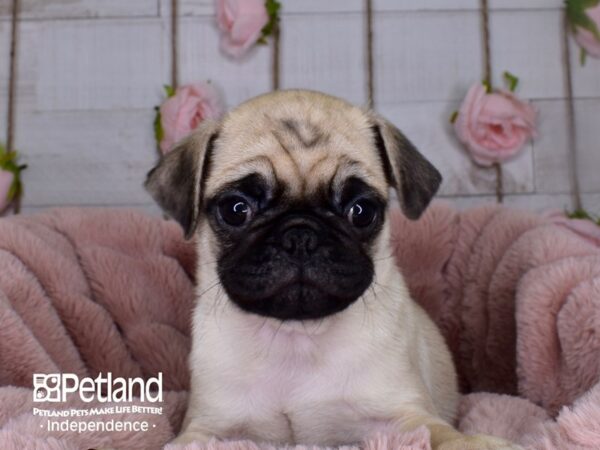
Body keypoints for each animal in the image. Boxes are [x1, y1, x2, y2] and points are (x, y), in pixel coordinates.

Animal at [145, 89, 520, 448]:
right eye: (237, 209)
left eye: (361, 211)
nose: (300, 235)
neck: (297, 337)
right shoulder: (208, 426)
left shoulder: (405, 415)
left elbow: (444, 435)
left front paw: (478, 443)